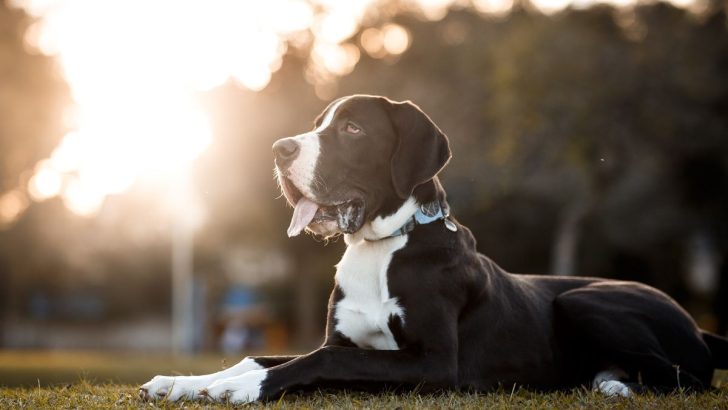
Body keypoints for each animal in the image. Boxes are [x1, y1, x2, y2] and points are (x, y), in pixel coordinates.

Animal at [142, 93, 728, 404]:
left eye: (352, 129)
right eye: (316, 126)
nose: (278, 149)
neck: (382, 245)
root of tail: (699, 326)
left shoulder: (436, 364)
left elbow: (317, 360)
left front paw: (245, 388)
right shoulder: (347, 342)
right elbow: (266, 353)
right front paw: (183, 382)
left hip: (584, 299)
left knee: (684, 378)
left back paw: (614, 386)